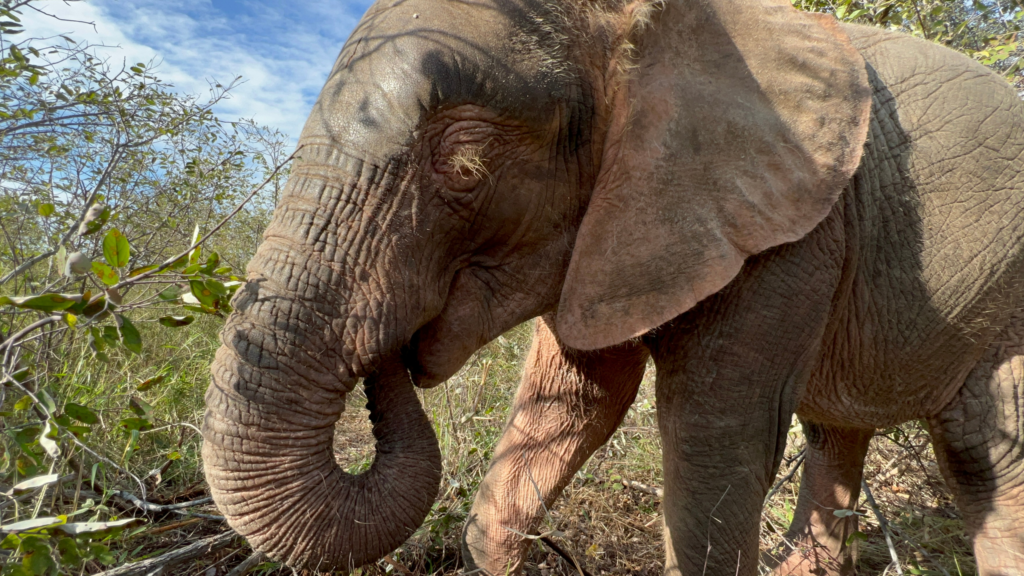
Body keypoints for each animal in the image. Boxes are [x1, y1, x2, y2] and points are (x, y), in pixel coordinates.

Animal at [200, 0, 1024, 573]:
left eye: (465, 164)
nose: (393, 351)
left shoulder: (791, 227)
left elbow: (712, 447)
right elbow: (572, 402)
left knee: (984, 454)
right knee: (838, 440)